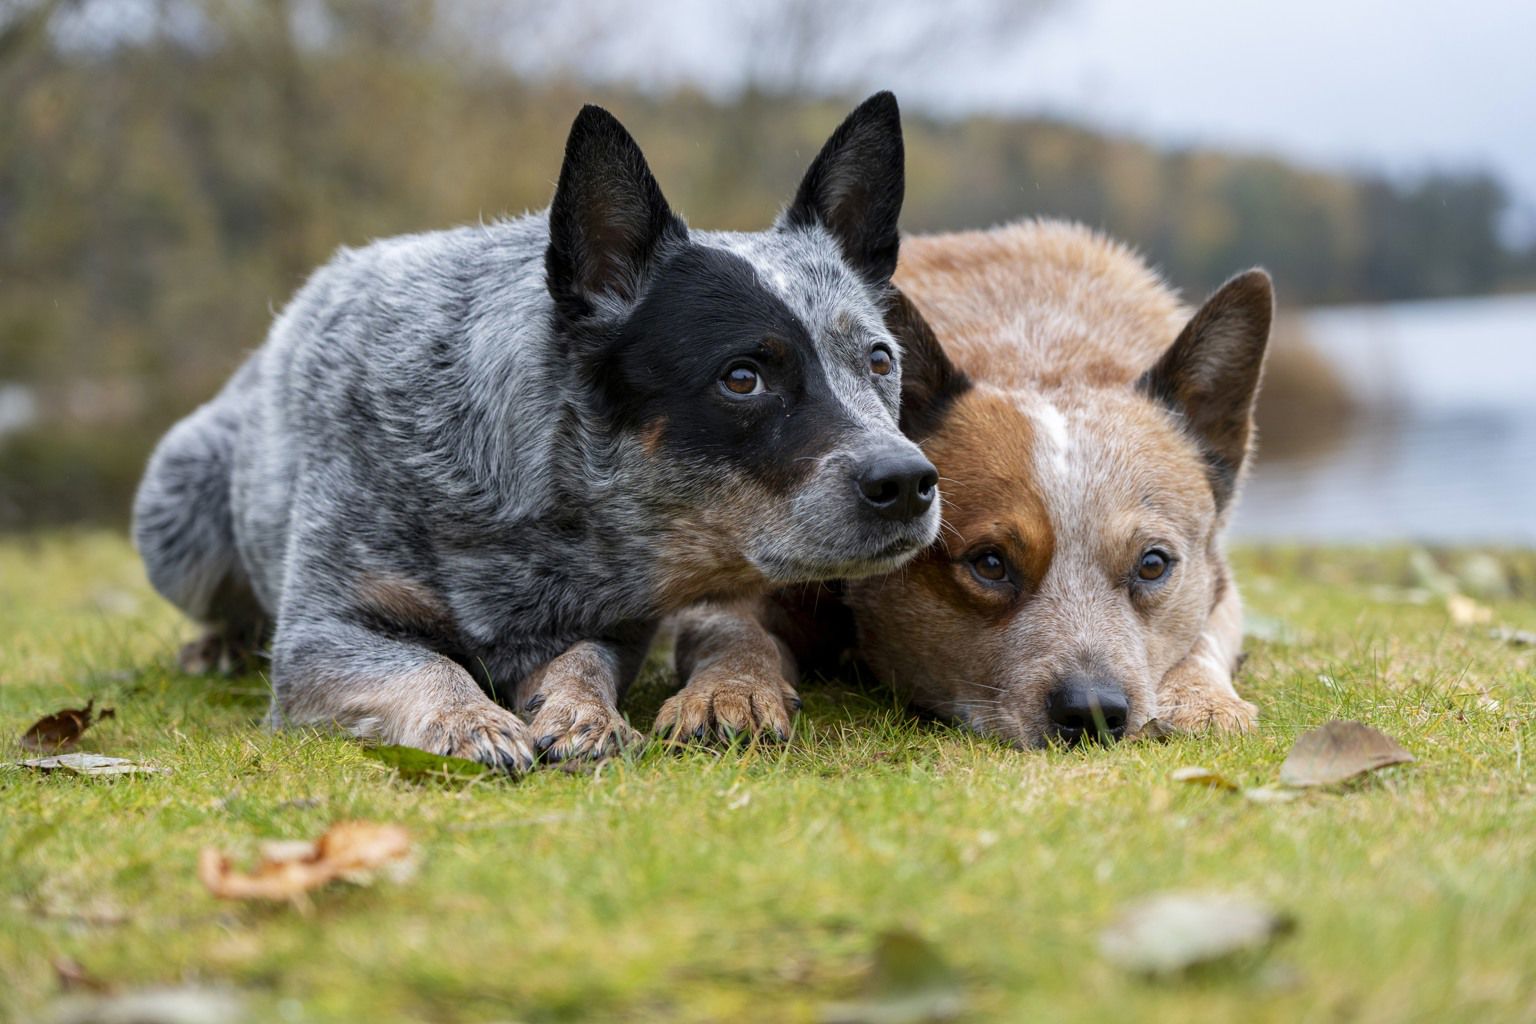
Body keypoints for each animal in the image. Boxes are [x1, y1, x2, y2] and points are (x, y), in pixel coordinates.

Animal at [132, 94, 940, 767]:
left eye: (878, 360)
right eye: (743, 378)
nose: (908, 482)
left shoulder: (615, 622)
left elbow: (584, 661)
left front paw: (583, 712)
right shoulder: (319, 636)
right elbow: (423, 661)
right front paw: (469, 720)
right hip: (175, 508)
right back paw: (219, 643)